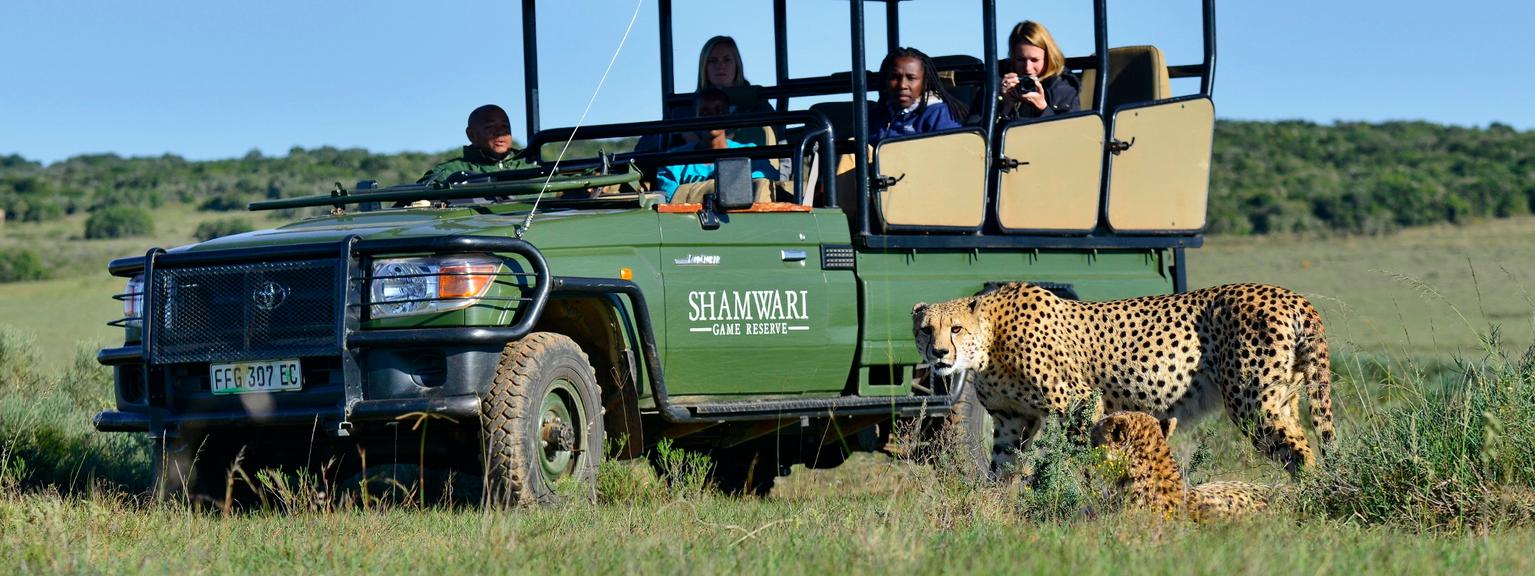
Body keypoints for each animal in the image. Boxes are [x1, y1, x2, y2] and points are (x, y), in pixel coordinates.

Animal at [912, 282, 1334, 478]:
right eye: (925, 329)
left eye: (955, 328)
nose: (939, 354)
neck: (989, 340)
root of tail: (1290, 295)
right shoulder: (1011, 418)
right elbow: (1002, 468)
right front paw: (996, 513)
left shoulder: (1079, 401)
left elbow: (1083, 456)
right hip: (1282, 399)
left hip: (1254, 404)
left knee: (1303, 453)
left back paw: (1309, 504)